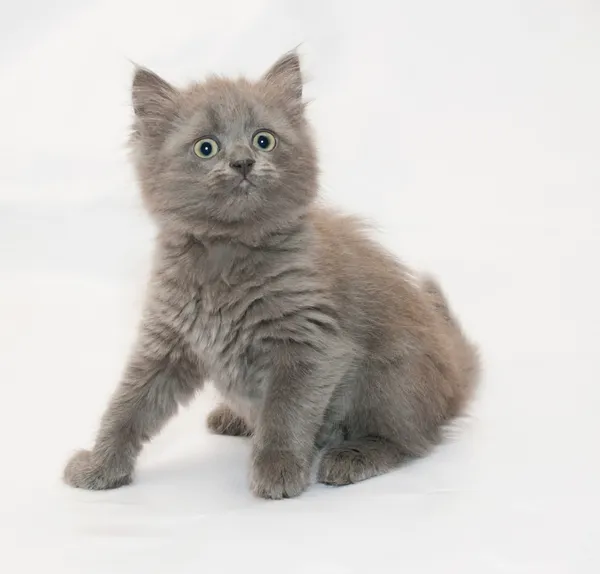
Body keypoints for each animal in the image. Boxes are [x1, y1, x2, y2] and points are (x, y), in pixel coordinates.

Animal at [63, 53, 480, 500]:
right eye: (206, 147)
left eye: (264, 140)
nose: (243, 162)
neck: (226, 255)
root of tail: (454, 383)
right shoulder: (167, 341)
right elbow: (128, 406)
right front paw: (99, 465)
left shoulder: (311, 344)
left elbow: (285, 412)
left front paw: (277, 470)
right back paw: (235, 418)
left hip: (391, 380)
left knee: (410, 440)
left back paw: (352, 455)